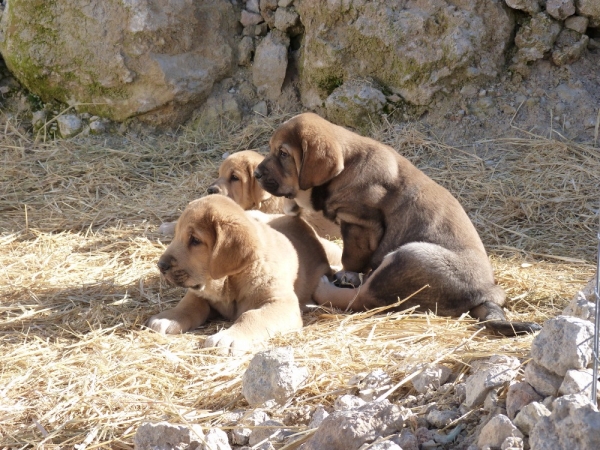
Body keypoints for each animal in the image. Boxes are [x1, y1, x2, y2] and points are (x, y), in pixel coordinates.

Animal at [145, 195, 338, 354]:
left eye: (195, 240)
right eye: (177, 234)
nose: (160, 265)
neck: (231, 281)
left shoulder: (282, 303)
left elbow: (252, 316)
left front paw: (229, 337)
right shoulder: (200, 292)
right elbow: (189, 304)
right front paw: (169, 318)